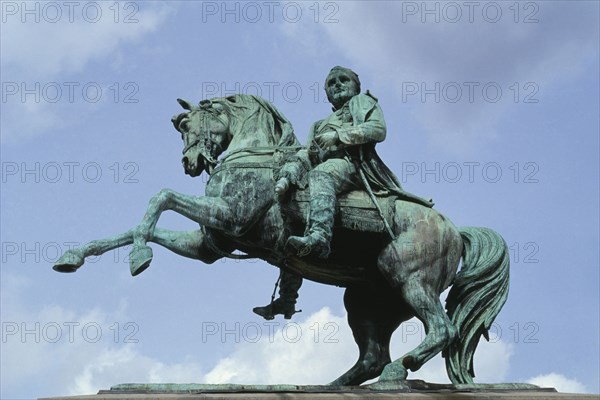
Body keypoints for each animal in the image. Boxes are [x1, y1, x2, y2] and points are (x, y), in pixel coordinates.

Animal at [54, 94, 508, 388]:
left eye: (189, 125)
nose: (190, 163)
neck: (253, 156)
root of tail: (453, 229)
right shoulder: (210, 246)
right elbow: (137, 225)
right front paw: (75, 255)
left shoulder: (230, 216)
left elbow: (159, 198)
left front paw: (139, 256)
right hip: (367, 300)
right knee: (373, 356)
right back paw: (335, 384)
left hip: (410, 281)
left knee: (442, 329)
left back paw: (400, 370)